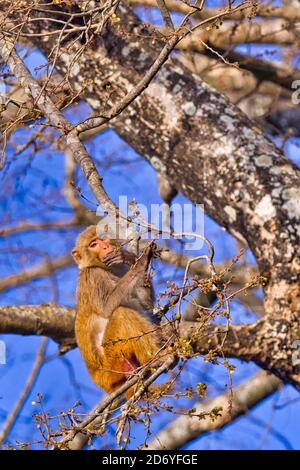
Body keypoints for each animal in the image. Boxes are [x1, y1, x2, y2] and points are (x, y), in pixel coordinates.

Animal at [71, 226, 163, 398]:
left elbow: (146, 305)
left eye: (103, 238)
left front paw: (129, 258)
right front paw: (140, 263)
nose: (105, 247)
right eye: (93, 244)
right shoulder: (92, 277)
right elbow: (108, 307)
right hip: (112, 360)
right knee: (122, 313)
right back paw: (159, 357)